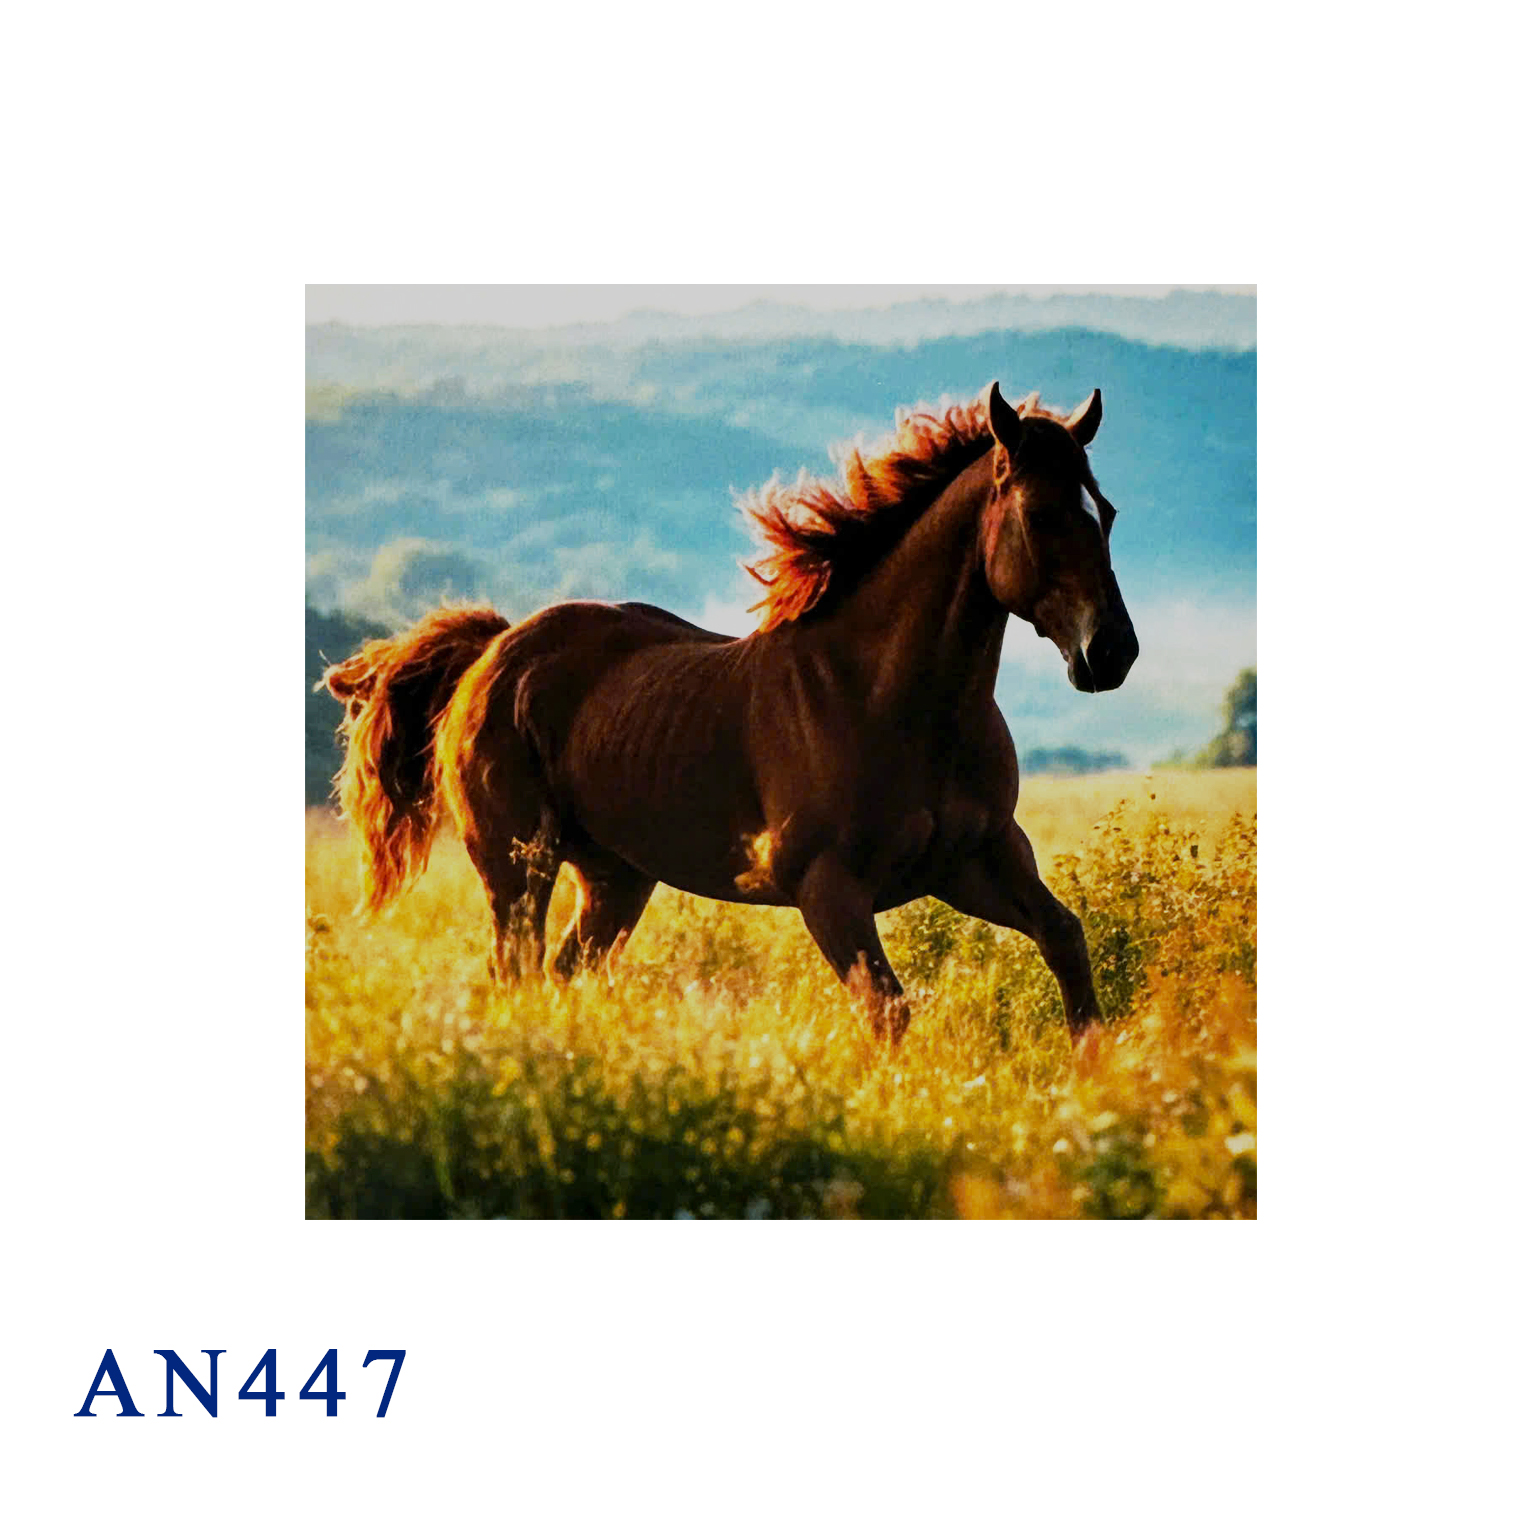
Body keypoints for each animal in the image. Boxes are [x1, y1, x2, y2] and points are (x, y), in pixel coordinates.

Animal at [322, 381, 1139, 1047]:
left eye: (1106, 512)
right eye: (1040, 514)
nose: (1111, 653)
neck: (894, 702)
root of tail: (492, 653)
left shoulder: (977, 860)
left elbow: (1066, 942)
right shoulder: (829, 890)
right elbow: (888, 1010)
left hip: (615, 878)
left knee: (560, 971)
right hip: (517, 867)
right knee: (513, 972)